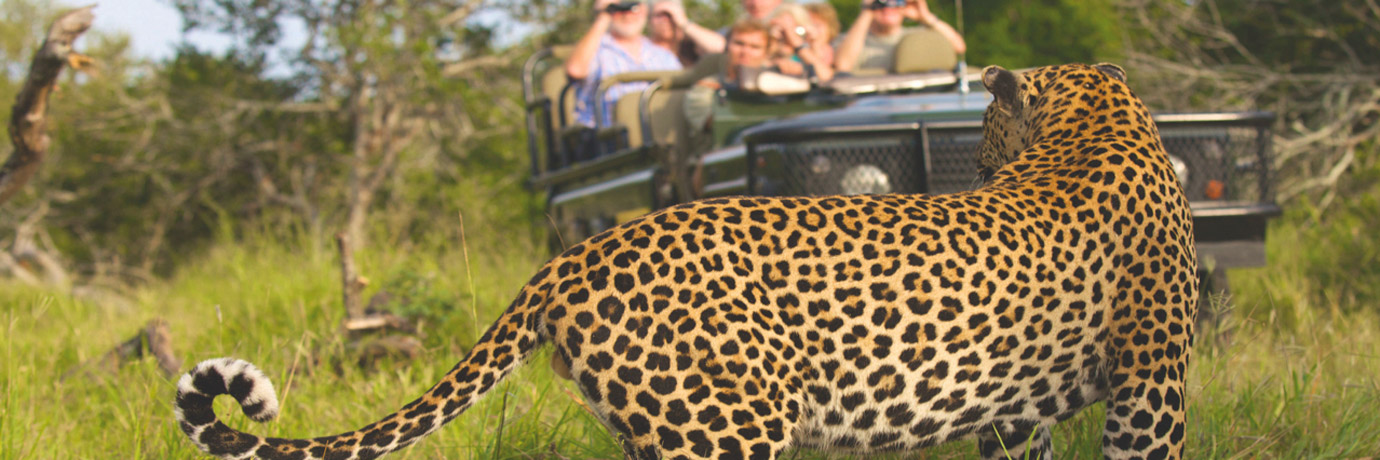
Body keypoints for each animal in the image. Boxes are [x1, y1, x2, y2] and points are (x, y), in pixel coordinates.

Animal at [175, 62, 1197, 460]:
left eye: (981, 130)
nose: (975, 165)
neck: (1097, 122)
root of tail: (574, 257)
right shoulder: (1154, 384)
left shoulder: (1017, 416)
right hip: (728, 430)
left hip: (654, 430)